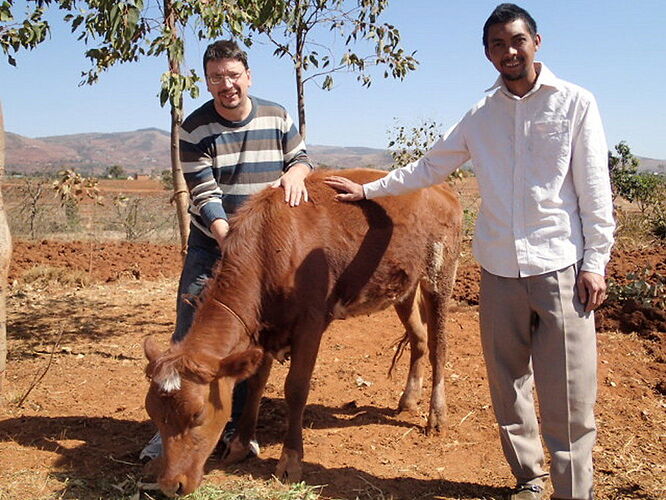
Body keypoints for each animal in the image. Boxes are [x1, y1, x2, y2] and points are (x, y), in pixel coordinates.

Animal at [143, 169, 460, 496]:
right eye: (152, 412)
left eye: (198, 415)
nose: (170, 485)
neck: (271, 248)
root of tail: (442, 190)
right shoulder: (265, 329)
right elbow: (256, 383)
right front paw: (241, 444)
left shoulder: (311, 322)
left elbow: (296, 388)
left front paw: (290, 460)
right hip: (403, 287)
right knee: (419, 339)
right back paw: (409, 399)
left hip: (441, 272)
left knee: (438, 347)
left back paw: (437, 416)